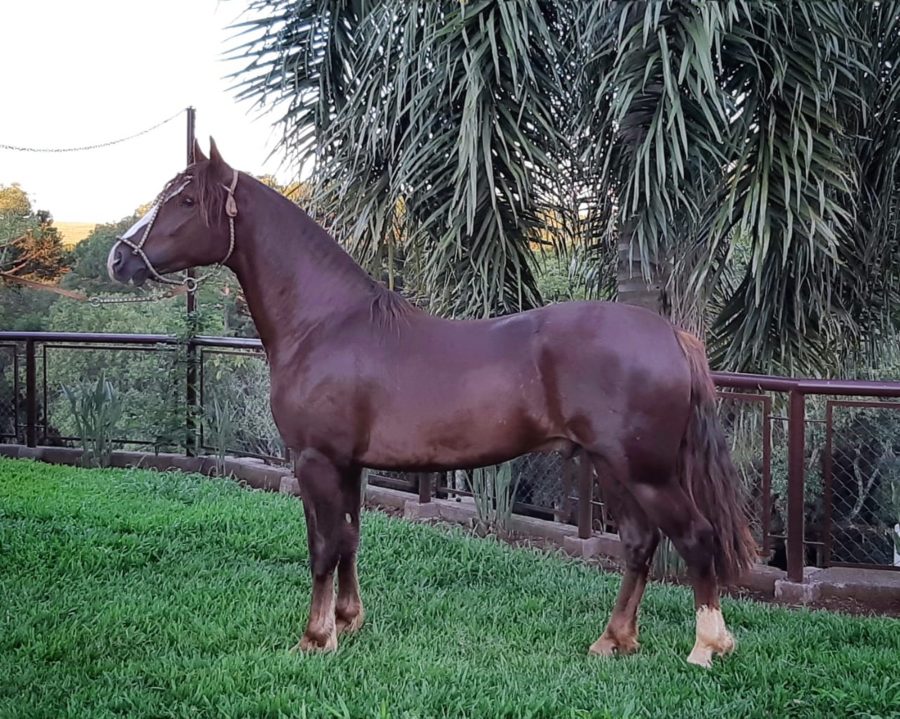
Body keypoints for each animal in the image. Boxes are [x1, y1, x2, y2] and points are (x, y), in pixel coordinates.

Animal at [105, 139, 756, 668]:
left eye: (186, 200)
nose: (118, 258)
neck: (326, 325)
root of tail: (671, 334)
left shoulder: (316, 460)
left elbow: (322, 547)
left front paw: (315, 638)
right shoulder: (349, 465)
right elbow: (349, 539)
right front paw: (348, 622)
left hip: (646, 472)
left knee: (695, 538)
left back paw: (707, 647)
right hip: (611, 467)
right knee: (640, 543)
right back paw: (614, 640)